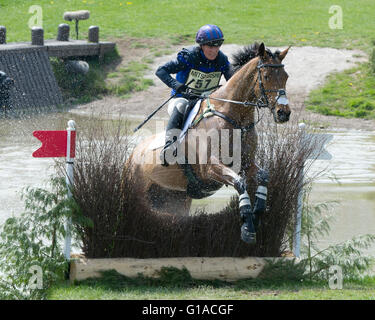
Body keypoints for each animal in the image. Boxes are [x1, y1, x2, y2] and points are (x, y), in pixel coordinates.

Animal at [125, 42, 292, 242]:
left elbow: (264, 176)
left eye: (286, 76)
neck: (233, 116)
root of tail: (132, 155)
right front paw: (247, 226)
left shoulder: (246, 164)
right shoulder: (210, 168)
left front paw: (258, 213)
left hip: (174, 196)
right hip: (138, 189)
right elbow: (239, 183)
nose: (284, 113)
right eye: (266, 76)